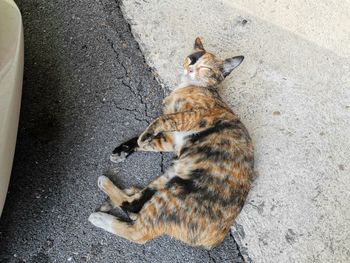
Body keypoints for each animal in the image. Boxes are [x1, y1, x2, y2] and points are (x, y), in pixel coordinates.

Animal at [89, 37, 253, 250]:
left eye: (206, 67)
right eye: (192, 58)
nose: (190, 68)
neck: (187, 86)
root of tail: (215, 239)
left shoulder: (194, 116)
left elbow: (162, 120)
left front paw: (143, 137)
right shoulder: (171, 140)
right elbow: (149, 141)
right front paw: (124, 150)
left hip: (172, 196)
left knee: (137, 231)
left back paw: (100, 212)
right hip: (171, 176)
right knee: (134, 205)